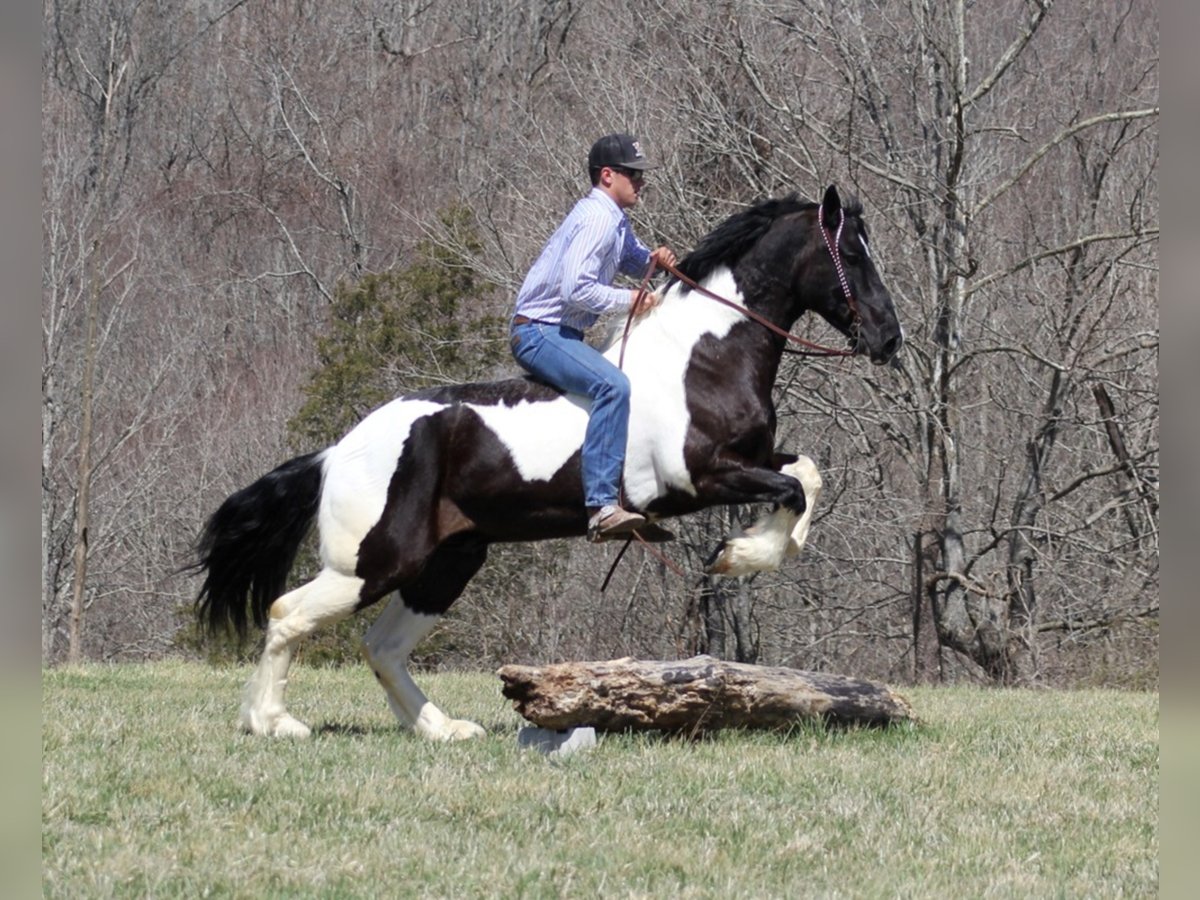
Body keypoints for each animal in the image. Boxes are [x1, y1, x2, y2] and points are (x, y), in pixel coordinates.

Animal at [192, 183, 902, 739]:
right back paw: (272, 723)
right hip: (371, 563)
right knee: (288, 614)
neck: (706, 358)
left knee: (383, 647)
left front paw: (749, 549)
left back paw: (444, 729)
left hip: (450, 561)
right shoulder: (705, 478)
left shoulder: (748, 460)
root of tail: (338, 450)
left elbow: (806, 475)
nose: (888, 339)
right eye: (852, 254)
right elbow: (792, 489)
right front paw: (738, 554)